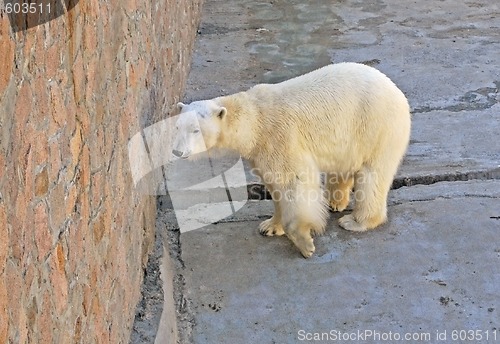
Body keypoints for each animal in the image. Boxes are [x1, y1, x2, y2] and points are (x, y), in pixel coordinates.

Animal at [175, 61, 410, 256]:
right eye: (178, 126)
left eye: (195, 130)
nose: (177, 152)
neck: (254, 120)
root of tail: (397, 92)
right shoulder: (261, 151)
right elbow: (275, 186)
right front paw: (269, 226)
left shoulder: (279, 137)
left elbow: (294, 182)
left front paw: (304, 243)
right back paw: (336, 201)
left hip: (376, 126)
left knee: (373, 175)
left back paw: (355, 222)